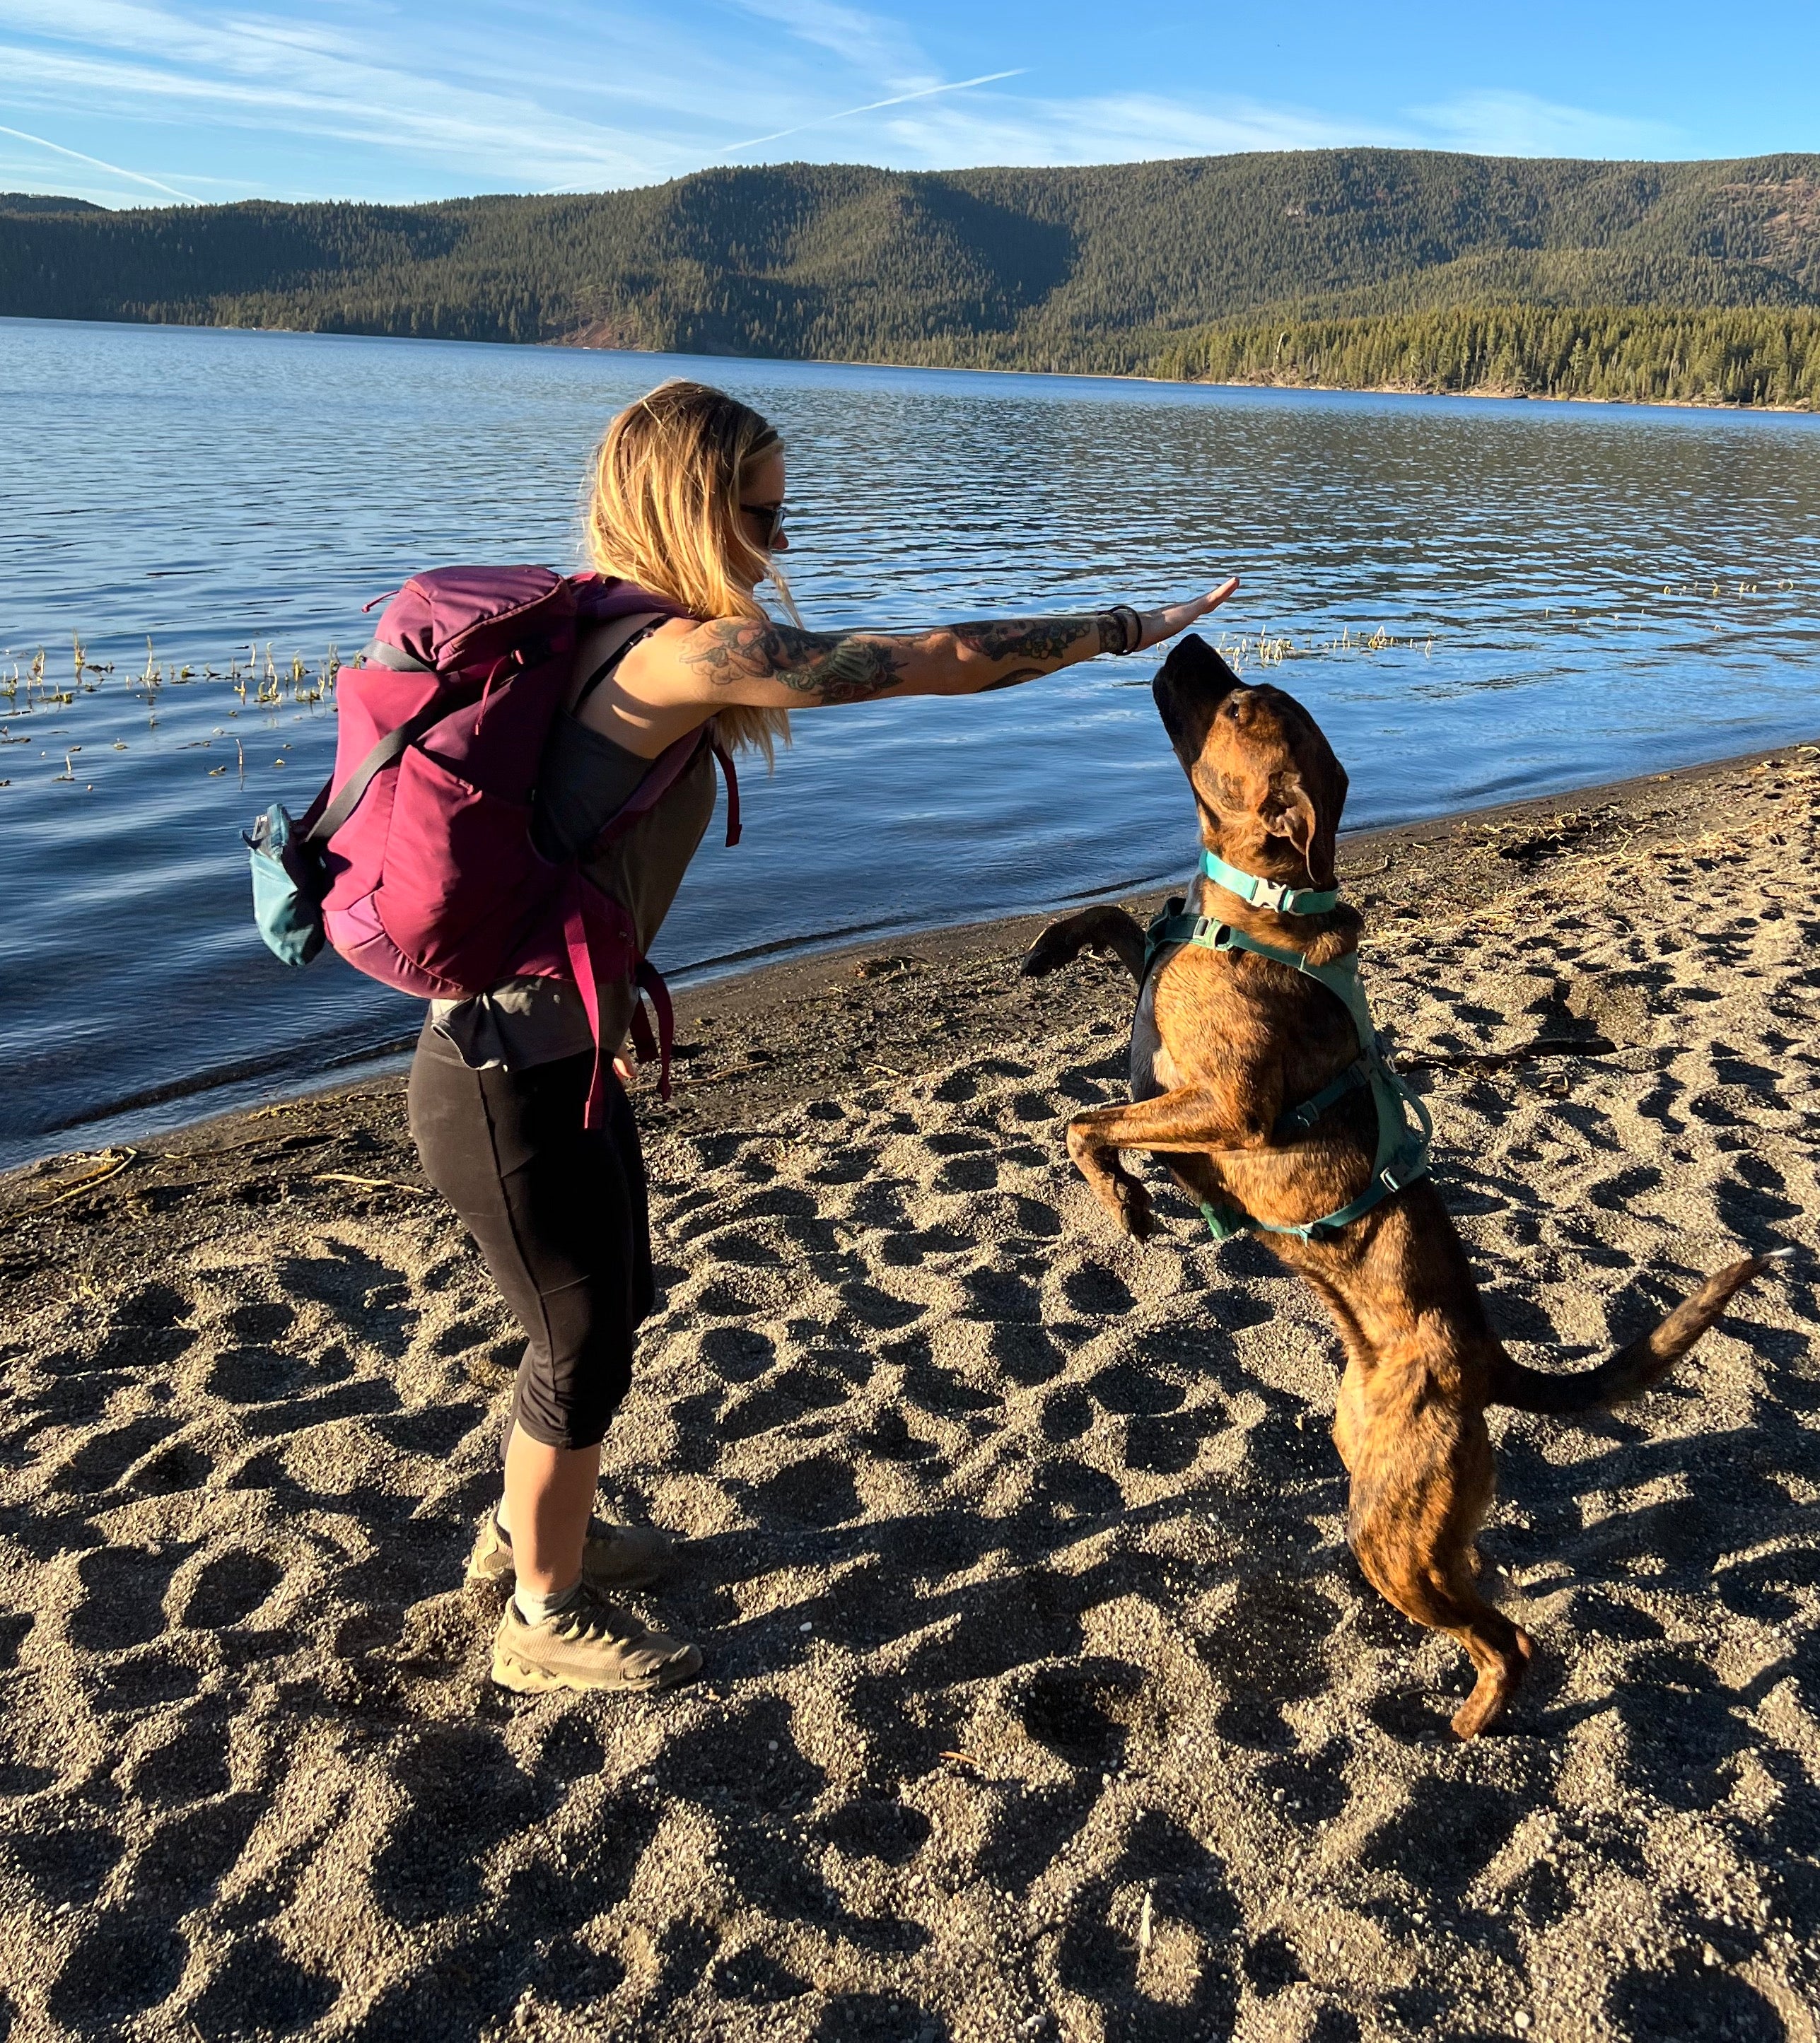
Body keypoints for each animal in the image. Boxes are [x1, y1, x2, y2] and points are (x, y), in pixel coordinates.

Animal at [1025, 637, 1781, 1740]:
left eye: (1243, 705)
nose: (1188, 643)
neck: (1259, 900)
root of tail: (1486, 1358)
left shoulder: (1228, 1106)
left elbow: (1084, 1124)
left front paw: (1124, 1198)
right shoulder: (1160, 1037)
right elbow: (1116, 923)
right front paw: (1052, 945)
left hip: (1389, 1529)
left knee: (1509, 1637)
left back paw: (1471, 1722)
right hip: (1397, 1493)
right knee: (1488, 1586)